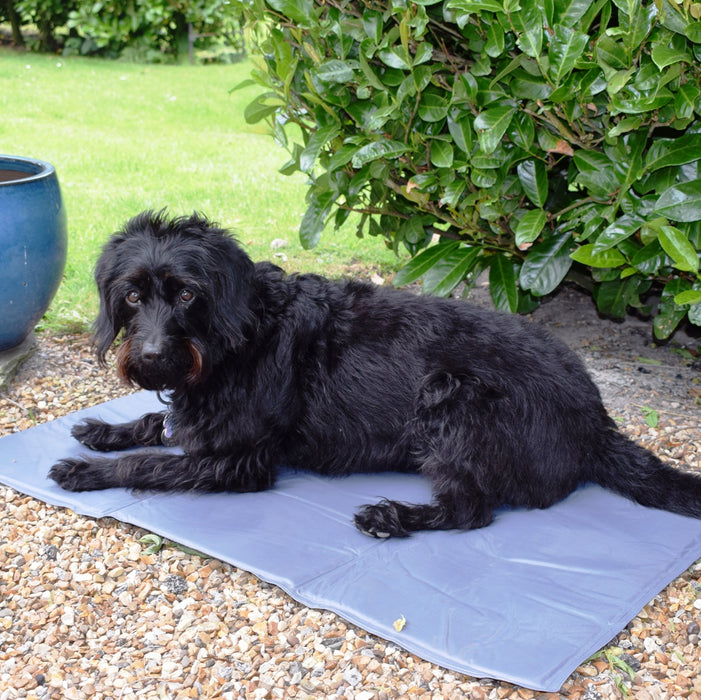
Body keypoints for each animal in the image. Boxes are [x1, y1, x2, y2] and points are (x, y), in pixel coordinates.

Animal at [52, 211, 700, 540]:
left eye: (186, 293)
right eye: (132, 296)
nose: (152, 357)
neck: (240, 335)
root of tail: (597, 420)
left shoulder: (241, 462)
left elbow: (151, 463)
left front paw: (88, 471)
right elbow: (157, 422)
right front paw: (103, 432)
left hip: (451, 398)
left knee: (473, 510)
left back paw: (394, 518)